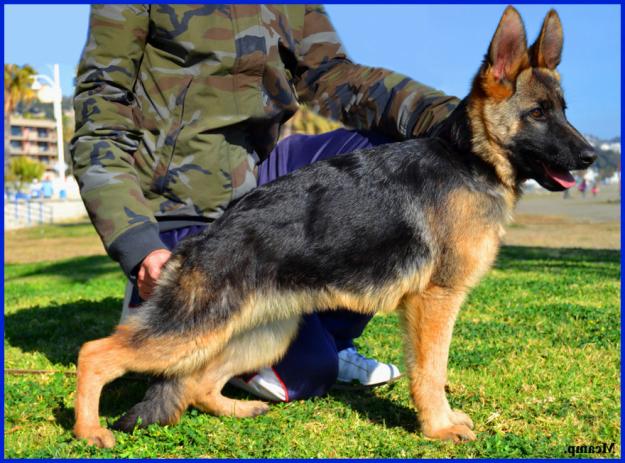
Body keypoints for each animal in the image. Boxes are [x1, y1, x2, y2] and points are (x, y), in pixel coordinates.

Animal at [73, 6, 596, 450]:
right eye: (538, 114)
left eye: (564, 110)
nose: (592, 156)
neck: (470, 159)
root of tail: (200, 242)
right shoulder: (435, 302)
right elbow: (431, 371)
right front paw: (439, 427)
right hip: (189, 331)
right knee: (95, 353)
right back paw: (88, 431)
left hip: (259, 333)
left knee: (199, 383)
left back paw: (239, 408)